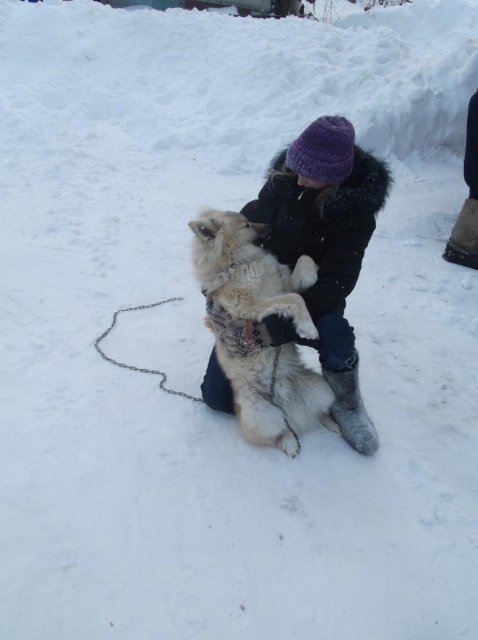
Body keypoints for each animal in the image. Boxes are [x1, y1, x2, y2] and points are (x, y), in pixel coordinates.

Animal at [188, 209, 335, 457]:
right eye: (246, 225)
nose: (270, 226)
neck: (240, 263)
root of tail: (283, 402)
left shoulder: (284, 283)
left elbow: (303, 264)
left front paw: (313, 275)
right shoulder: (251, 305)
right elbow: (295, 298)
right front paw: (307, 327)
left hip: (322, 388)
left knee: (318, 412)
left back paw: (334, 426)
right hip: (259, 416)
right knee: (279, 431)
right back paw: (289, 442)